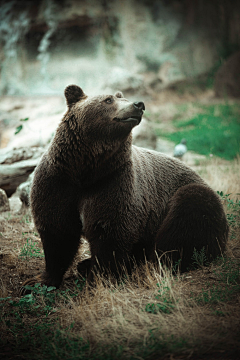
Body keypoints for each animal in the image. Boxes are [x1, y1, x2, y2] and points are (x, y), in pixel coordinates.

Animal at [22, 85, 229, 290]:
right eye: (108, 99)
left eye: (123, 97)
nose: (139, 104)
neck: (86, 170)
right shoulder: (59, 182)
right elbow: (58, 232)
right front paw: (37, 280)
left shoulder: (113, 182)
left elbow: (109, 231)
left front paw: (100, 278)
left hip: (186, 200)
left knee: (187, 220)